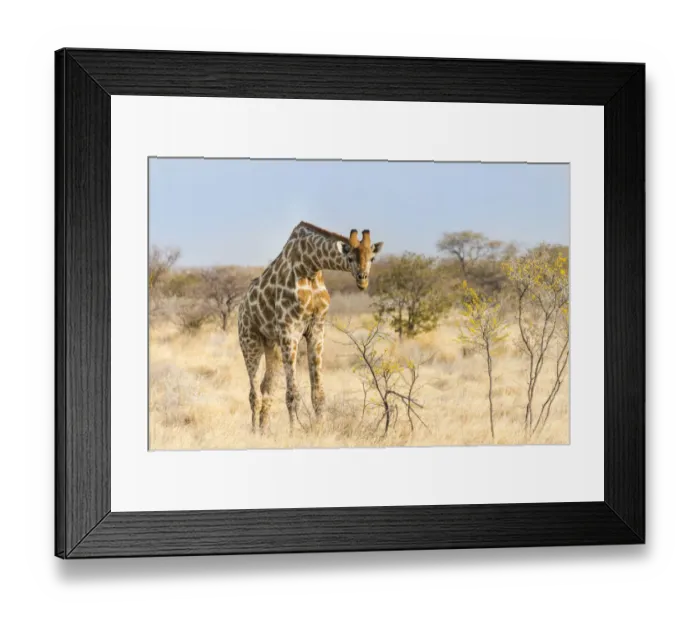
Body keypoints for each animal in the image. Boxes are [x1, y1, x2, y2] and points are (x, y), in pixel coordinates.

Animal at [237, 221, 384, 434]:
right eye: (349, 258)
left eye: (372, 257)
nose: (362, 279)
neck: (311, 266)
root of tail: (241, 308)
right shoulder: (290, 331)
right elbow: (292, 394)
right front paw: (294, 432)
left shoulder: (316, 328)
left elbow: (318, 393)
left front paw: (321, 429)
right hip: (249, 340)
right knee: (254, 393)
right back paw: (255, 433)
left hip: (272, 343)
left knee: (267, 387)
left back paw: (265, 432)